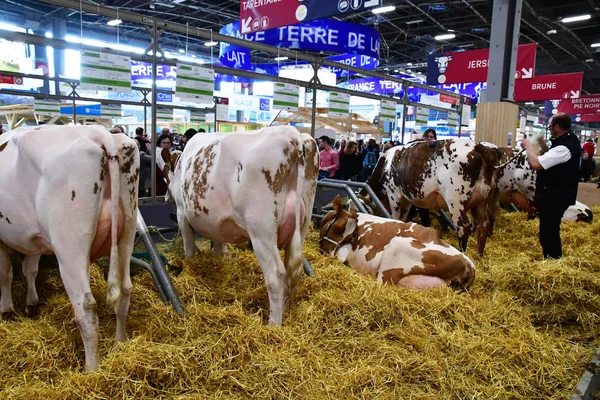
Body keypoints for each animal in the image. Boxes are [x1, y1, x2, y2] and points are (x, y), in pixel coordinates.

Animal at [0, 126, 139, 372]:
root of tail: (100, 133)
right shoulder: (35, 238)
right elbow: (29, 268)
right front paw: (31, 304)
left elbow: (5, 273)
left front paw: (6, 309)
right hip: (127, 231)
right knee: (125, 290)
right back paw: (119, 345)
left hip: (69, 245)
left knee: (86, 307)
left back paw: (91, 370)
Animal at [159, 126, 318, 326]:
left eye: (164, 173)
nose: (165, 197)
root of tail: (293, 135)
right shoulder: (217, 224)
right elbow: (219, 249)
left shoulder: (182, 213)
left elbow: (189, 249)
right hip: (303, 222)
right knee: (292, 268)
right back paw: (285, 309)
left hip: (261, 231)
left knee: (276, 274)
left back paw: (273, 324)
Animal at [366, 139, 502, 255]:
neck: (385, 164)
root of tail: (476, 146)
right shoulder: (406, 200)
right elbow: (403, 219)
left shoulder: (394, 194)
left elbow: (395, 217)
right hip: (481, 201)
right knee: (483, 225)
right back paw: (479, 255)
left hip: (456, 201)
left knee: (464, 227)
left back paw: (463, 253)